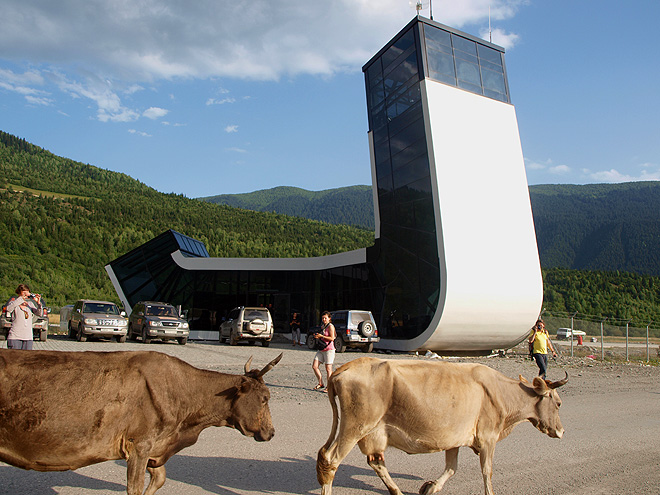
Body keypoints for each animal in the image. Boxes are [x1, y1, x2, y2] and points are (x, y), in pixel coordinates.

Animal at [0, 348, 282, 495]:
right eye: (265, 398)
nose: (271, 432)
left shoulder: (155, 447)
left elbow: (160, 479)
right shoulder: (139, 444)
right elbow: (135, 488)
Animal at [318, 358, 564, 495]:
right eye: (559, 403)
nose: (562, 431)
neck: (503, 392)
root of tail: (343, 368)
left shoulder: (453, 438)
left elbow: (452, 468)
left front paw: (430, 487)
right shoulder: (488, 436)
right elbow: (487, 471)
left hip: (373, 433)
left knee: (375, 462)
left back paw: (397, 491)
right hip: (355, 427)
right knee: (331, 460)